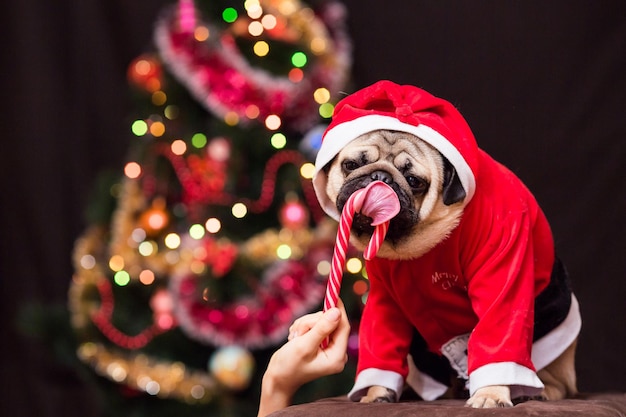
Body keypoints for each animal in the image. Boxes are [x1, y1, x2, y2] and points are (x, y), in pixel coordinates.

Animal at [312, 79, 580, 408]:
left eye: (414, 181)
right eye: (351, 165)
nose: (379, 177)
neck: (415, 244)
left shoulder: (503, 274)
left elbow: (497, 334)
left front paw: (491, 394)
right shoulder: (384, 300)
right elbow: (382, 345)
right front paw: (376, 394)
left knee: (556, 381)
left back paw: (538, 392)